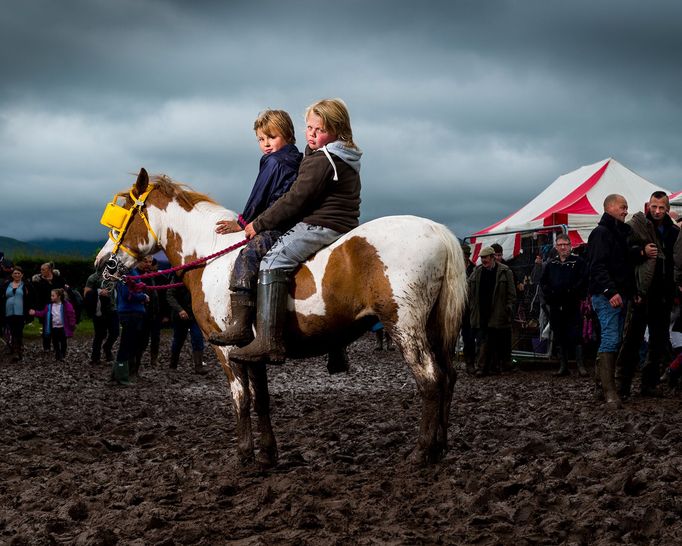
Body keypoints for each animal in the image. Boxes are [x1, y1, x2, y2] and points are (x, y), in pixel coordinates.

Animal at [95, 167, 468, 464]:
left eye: (123, 216)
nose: (102, 264)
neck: (213, 254)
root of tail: (438, 231)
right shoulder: (252, 350)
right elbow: (261, 399)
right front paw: (268, 453)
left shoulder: (227, 349)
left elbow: (241, 398)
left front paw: (244, 454)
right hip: (433, 328)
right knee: (448, 377)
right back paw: (440, 448)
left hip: (404, 327)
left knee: (431, 380)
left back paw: (422, 451)